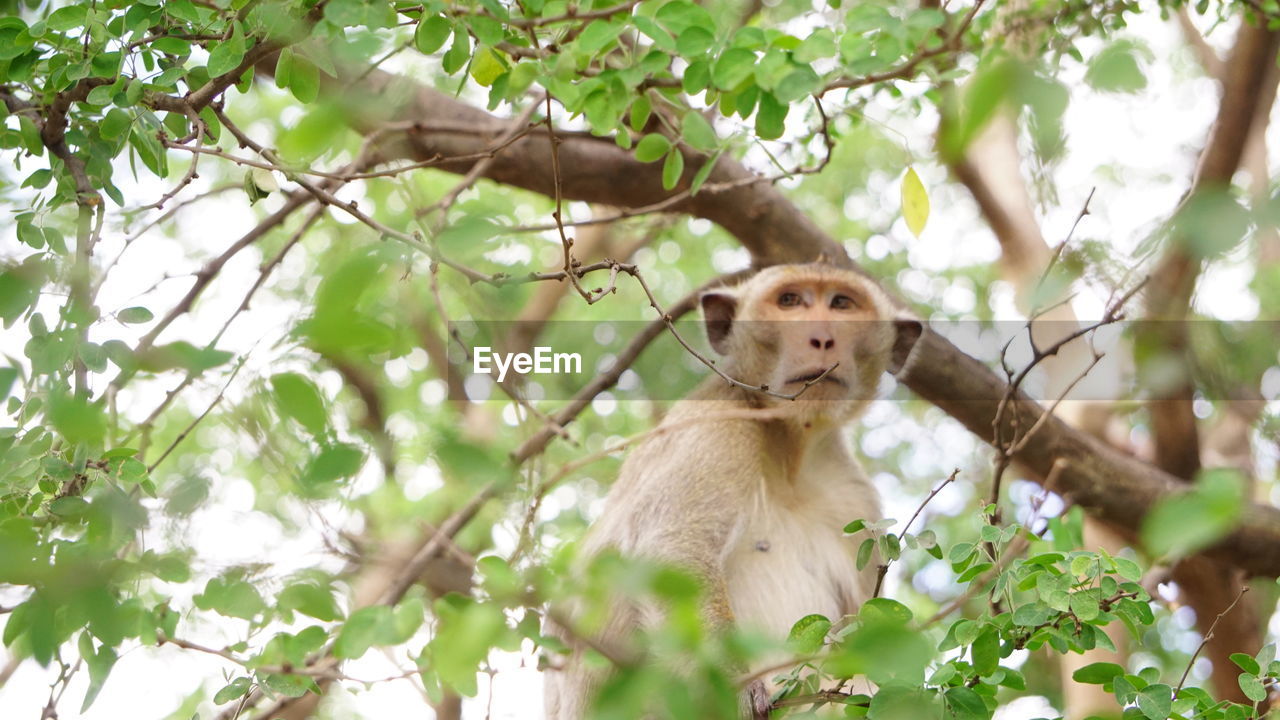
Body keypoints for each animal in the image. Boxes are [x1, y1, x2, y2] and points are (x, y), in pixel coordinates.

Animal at [545, 262, 926, 717]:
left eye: (841, 304)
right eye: (790, 301)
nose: (821, 337)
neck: (790, 449)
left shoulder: (855, 498)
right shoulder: (718, 424)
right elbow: (672, 552)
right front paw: (736, 689)